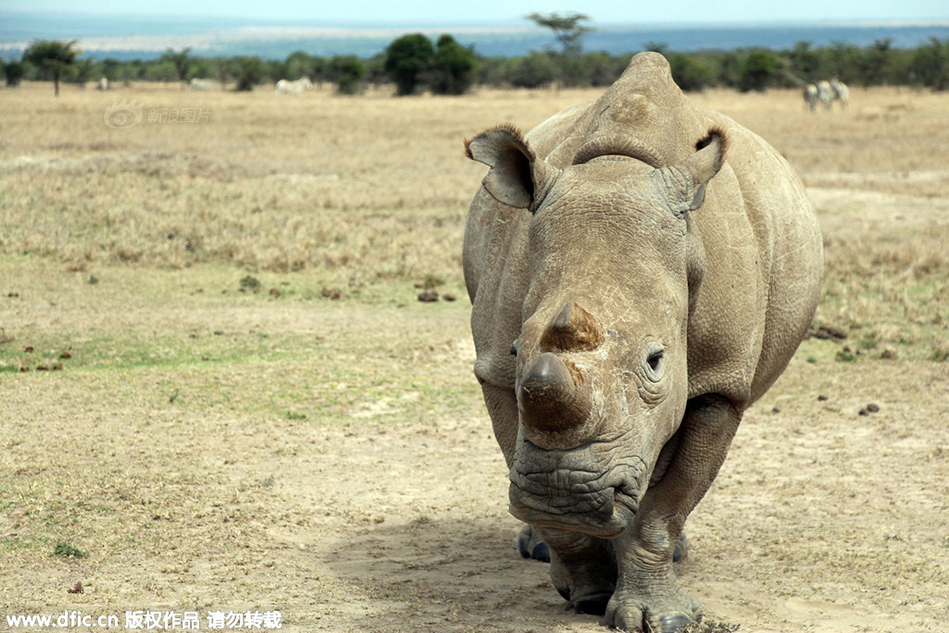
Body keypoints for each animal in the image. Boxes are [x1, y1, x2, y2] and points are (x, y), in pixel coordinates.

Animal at [462, 53, 824, 632]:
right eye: (518, 350)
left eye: (657, 361)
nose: (563, 493)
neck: (617, 171)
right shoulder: (495, 370)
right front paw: (585, 591)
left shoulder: (720, 380)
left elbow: (668, 504)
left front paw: (662, 616)